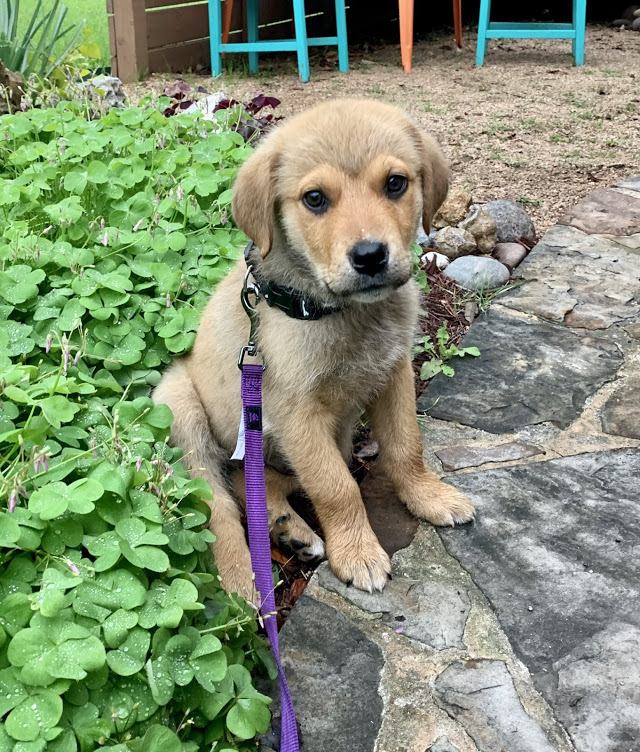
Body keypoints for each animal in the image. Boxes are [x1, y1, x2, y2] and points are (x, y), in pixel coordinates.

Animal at [152, 101, 476, 604]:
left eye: (396, 183)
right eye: (315, 199)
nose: (370, 256)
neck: (340, 312)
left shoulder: (394, 374)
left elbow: (406, 446)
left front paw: (429, 497)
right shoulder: (297, 414)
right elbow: (336, 487)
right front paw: (359, 554)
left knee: (253, 482)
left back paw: (290, 530)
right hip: (182, 409)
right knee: (219, 505)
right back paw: (245, 582)